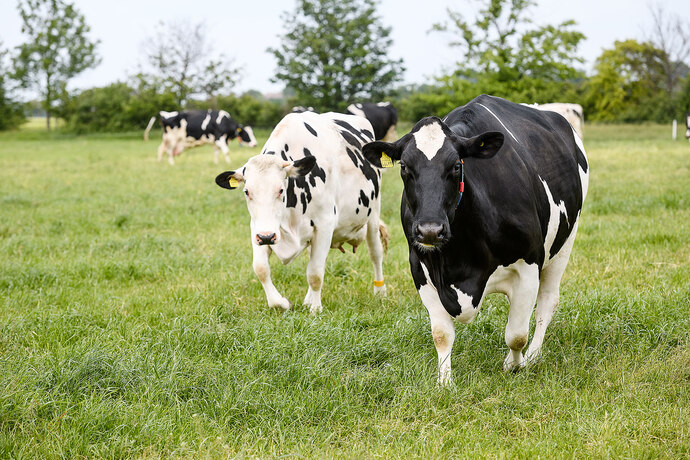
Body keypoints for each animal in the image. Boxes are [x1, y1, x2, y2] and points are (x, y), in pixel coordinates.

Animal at [215, 110, 388, 316]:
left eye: (281, 190)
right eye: (247, 192)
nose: (266, 237)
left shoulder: (325, 223)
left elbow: (315, 273)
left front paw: (315, 308)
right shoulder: (257, 227)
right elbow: (261, 268)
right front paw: (282, 303)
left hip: (373, 213)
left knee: (375, 253)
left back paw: (380, 292)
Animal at [360, 94, 584, 384]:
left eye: (457, 166)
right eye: (405, 167)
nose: (430, 230)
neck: (459, 260)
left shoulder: (529, 264)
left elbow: (516, 335)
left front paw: (514, 365)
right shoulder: (420, 269)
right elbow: (441, 334)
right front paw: (444, 382)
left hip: (564, 243)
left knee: (547, 302)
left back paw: (534, 355)